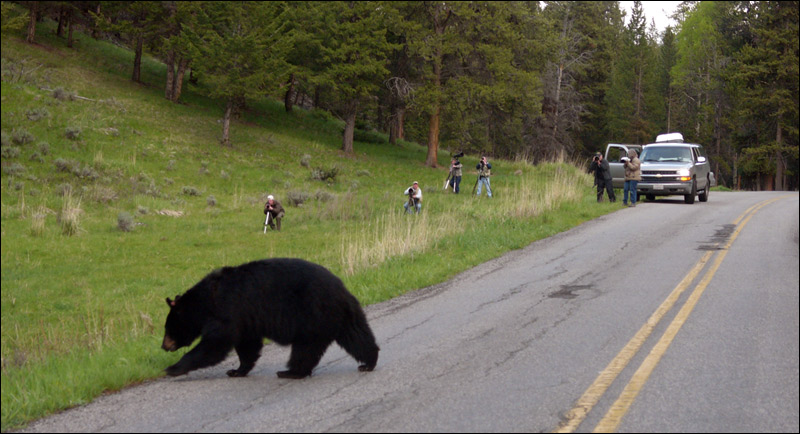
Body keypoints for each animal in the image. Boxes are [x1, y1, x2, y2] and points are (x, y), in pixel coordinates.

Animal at [161, 260, 380, 378]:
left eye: (168, 328)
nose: (164, 346)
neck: (206, 300)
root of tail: (341, 289)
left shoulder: (228, 310)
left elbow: (215, 343)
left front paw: (173, 368)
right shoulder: (246, 320)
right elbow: (247, 345)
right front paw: (237, 370)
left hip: (311, 316)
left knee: (305, 348)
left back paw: (291, 372)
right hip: (344, 316)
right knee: (357, 336)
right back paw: (369, 361)